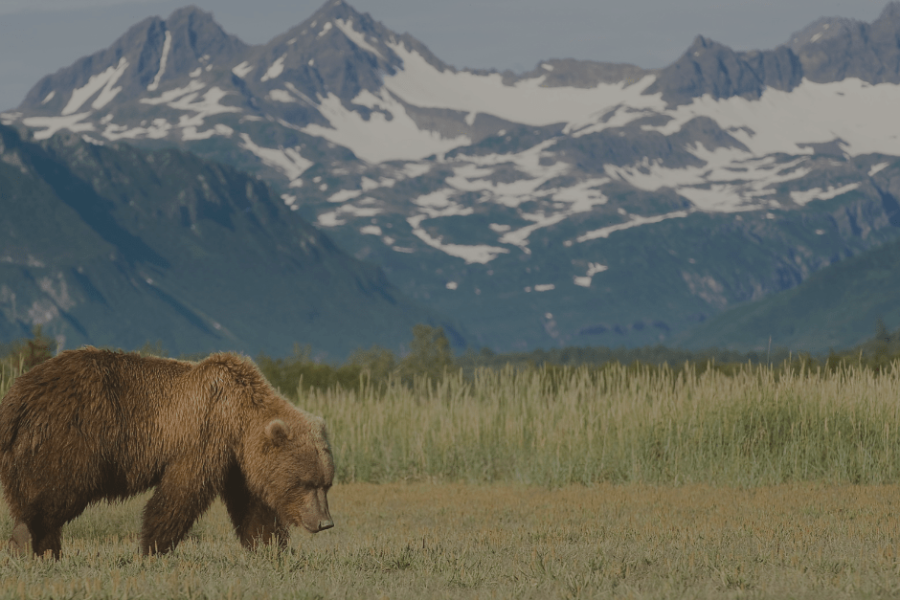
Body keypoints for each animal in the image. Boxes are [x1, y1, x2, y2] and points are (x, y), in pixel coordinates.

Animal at [0, 347, 334, 558]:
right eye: (307, 483)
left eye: (326, 484)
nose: (325, 523)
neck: (238, 417)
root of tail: (18, 392)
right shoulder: (203, 436)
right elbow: (180, 494)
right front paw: (152, 547)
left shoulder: (238, 463)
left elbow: (253, 507)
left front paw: (273, 547)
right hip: (70, 437)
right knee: (56, 491)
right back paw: (32, 543)